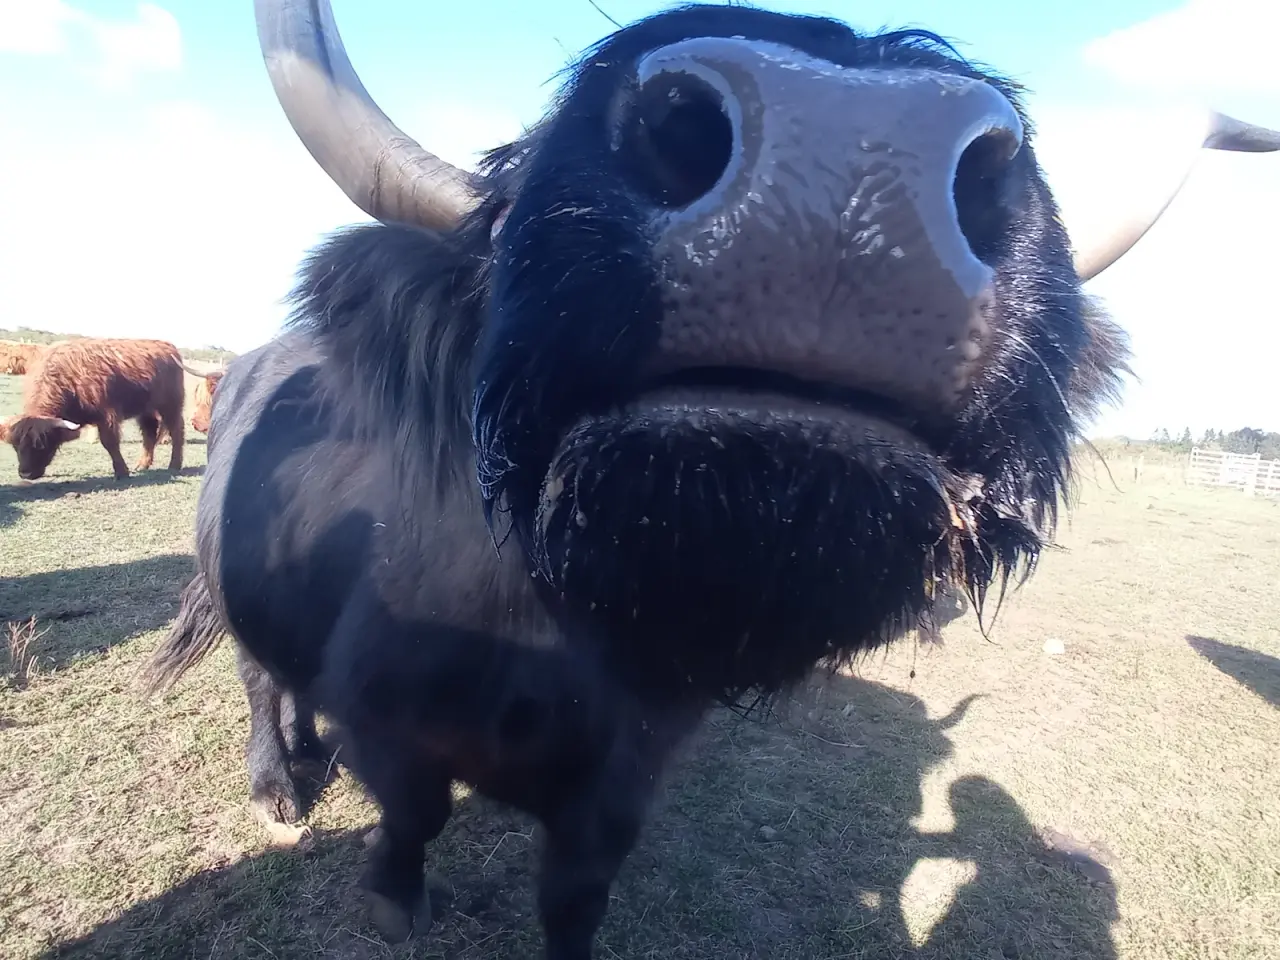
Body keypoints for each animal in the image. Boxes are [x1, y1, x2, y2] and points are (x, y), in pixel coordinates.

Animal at [0, 337, 185, 481]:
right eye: (15, 446)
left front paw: (121, 472)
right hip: (146, 410)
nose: (25, 474)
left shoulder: (107, 415)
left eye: (41, 444)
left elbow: (109, 443)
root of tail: (168, 346)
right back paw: (142, 464)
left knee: (176, 430)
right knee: (149, 433)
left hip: (171, 405)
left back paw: (174, 464)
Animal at [141, 2, 1280, 956]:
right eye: (505, 238)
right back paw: (278, 786)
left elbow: (575, 895)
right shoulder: (391, 718)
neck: (549, 651)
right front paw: (391, 898)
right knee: (258, 676)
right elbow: (411, 819)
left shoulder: (626, 776)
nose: (852, 144)